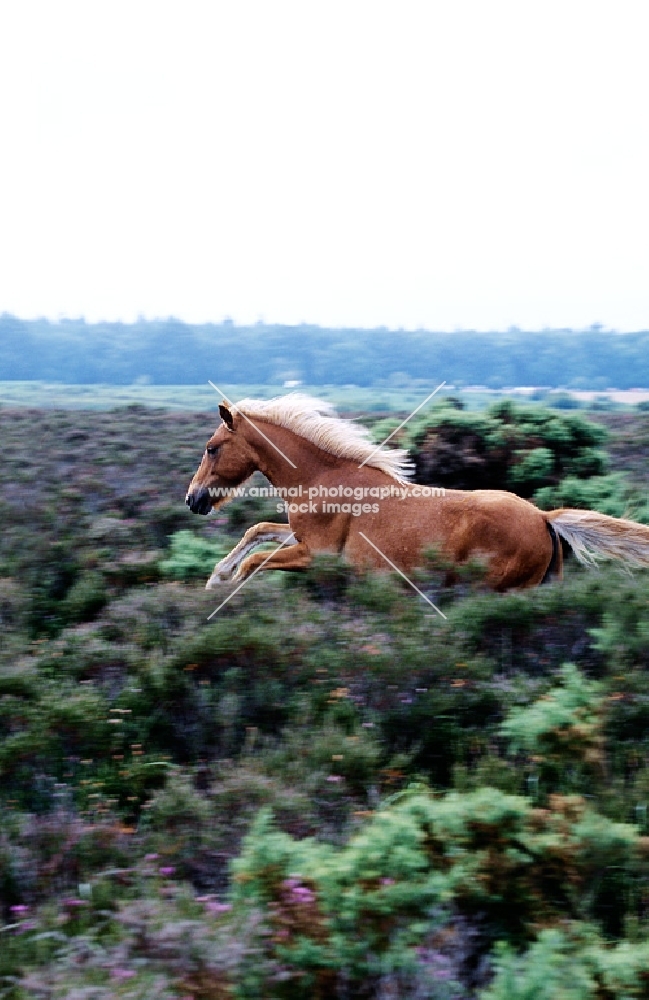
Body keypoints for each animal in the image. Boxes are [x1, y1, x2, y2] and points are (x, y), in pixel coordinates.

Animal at [185, 392, 648, 592]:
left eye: (212, 447)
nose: (193, 500)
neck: (322, 478)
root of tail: (543, 518)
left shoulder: (316, 554)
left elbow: (256, 561)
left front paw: (221, 587)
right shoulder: (300, 538)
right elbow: (258, 530)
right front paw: (217, 575)